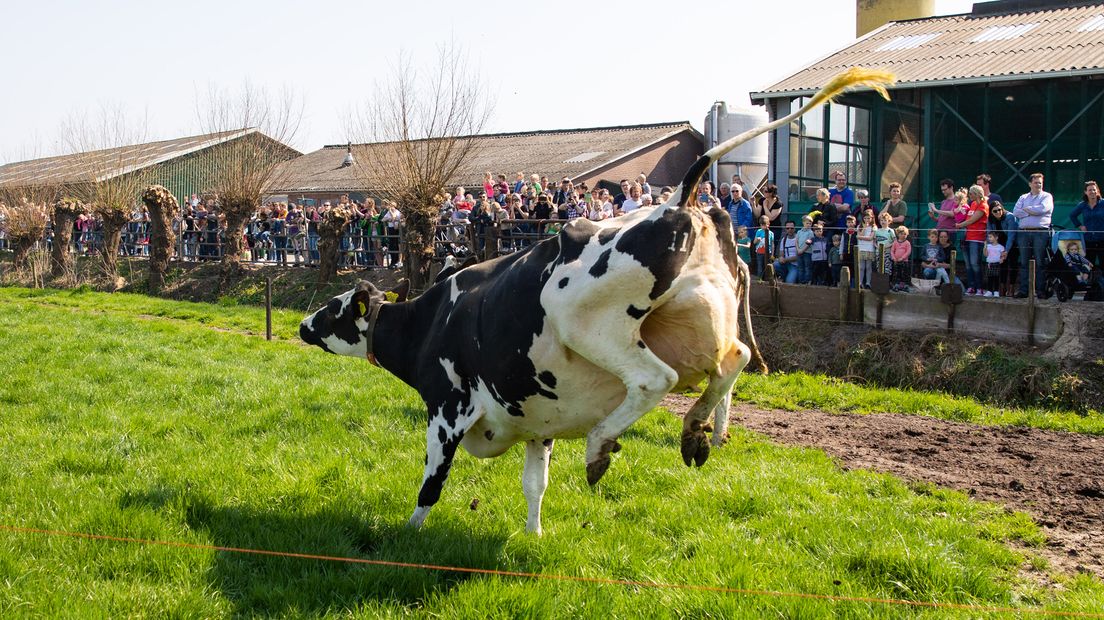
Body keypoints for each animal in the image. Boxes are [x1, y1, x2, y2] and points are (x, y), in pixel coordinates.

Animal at [298, 68, 892, 531]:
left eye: (332, 309)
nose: (302, 326)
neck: (433, 319)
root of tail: (676, 202)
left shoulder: (447, 411)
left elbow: (430, 485)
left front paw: (407, 536)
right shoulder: (535, 418)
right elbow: (534, 485)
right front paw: (533, 536)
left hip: (590, 326)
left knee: (655, 380)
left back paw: (601, 448)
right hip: (705, 318)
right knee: (734, 361)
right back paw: (696, 432)